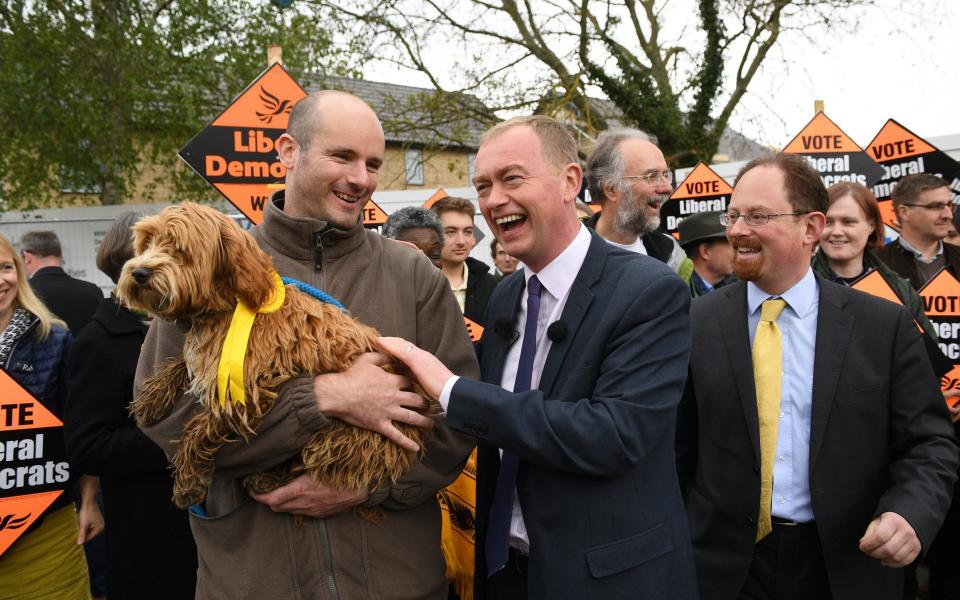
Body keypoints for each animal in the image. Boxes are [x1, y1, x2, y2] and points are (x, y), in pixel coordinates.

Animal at [117, 204, 436, 508]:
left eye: (178, 247)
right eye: (147, 242)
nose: (139, 273)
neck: (232, 303)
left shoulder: (245, 390)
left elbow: (197, 428)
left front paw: (187, 480)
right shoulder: (212, 362)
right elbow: (182, 363)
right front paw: (151, 396)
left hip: (344, 435)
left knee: (315, 465)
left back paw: (268, 478)